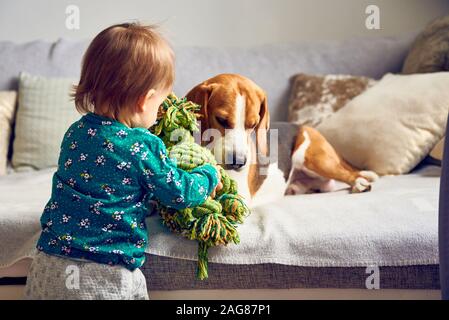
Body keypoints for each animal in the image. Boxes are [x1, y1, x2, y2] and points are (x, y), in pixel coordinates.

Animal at [186, 74, 378, 206]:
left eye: (253, 124)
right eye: (221, 120)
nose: (239, 162)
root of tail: (303, 126)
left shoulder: (240, 197)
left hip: (313, 159)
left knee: (349, 174)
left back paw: (360, 183)